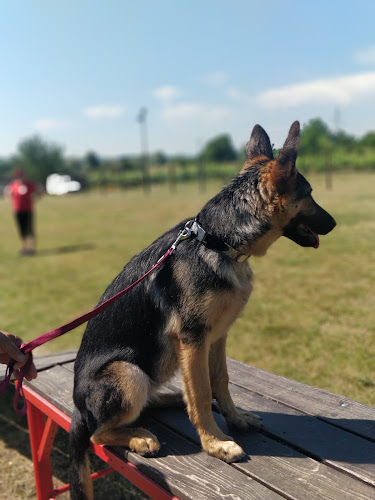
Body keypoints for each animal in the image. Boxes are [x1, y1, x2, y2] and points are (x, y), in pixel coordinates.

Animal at [70, 120, 338, 496]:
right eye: (310, 192)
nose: (335, 223)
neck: (218, 242)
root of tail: (78, 410)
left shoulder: (217, 337)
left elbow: (219, 382)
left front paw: (236, 420)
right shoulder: (194, 339)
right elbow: (199, 393)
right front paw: (215, 444)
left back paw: (168, 398)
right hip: (128, 372)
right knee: (98, 434)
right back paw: (140, 438)